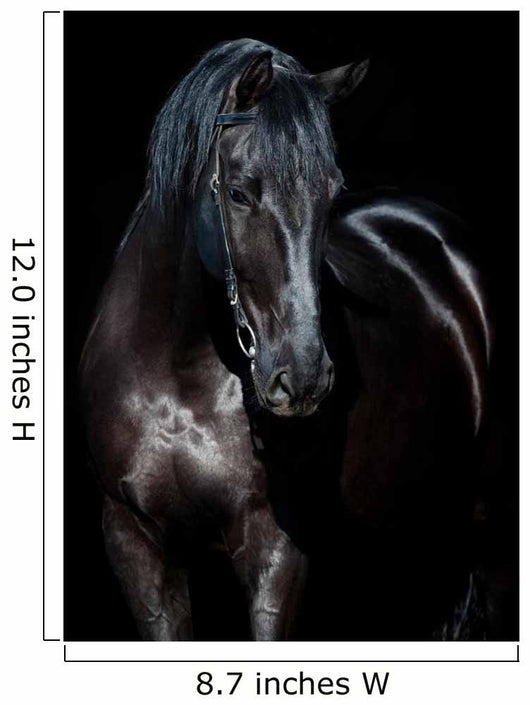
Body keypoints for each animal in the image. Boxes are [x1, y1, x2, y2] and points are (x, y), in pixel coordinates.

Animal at [79, 38, 492, 640]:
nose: (302, 378)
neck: (177, 377)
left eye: (331, 191)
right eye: (237, 192)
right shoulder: (135, 544)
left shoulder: (276, 549)